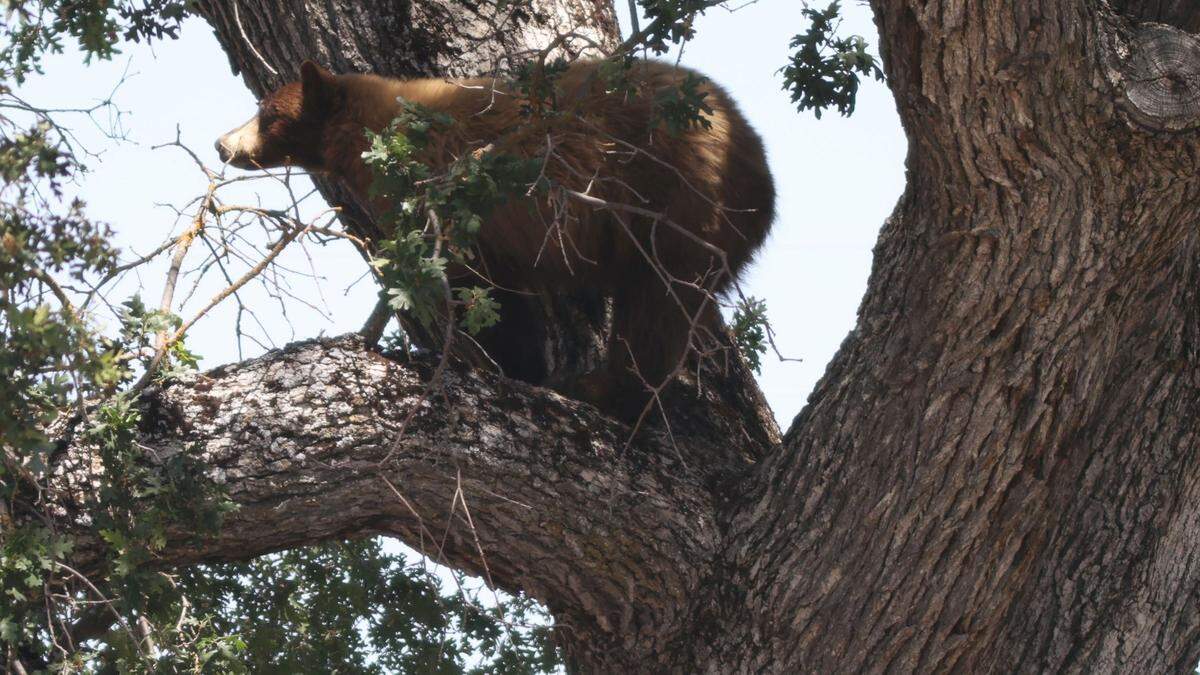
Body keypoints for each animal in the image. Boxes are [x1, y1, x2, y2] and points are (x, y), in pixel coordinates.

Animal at [215, 59, 775, 421]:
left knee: (657, 303)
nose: (222, 143)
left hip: (676, 200)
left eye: (266, 113)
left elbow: (472, 287)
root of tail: (759, 165)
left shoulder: (452, 201)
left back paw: (601, 387)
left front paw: (500, 362)